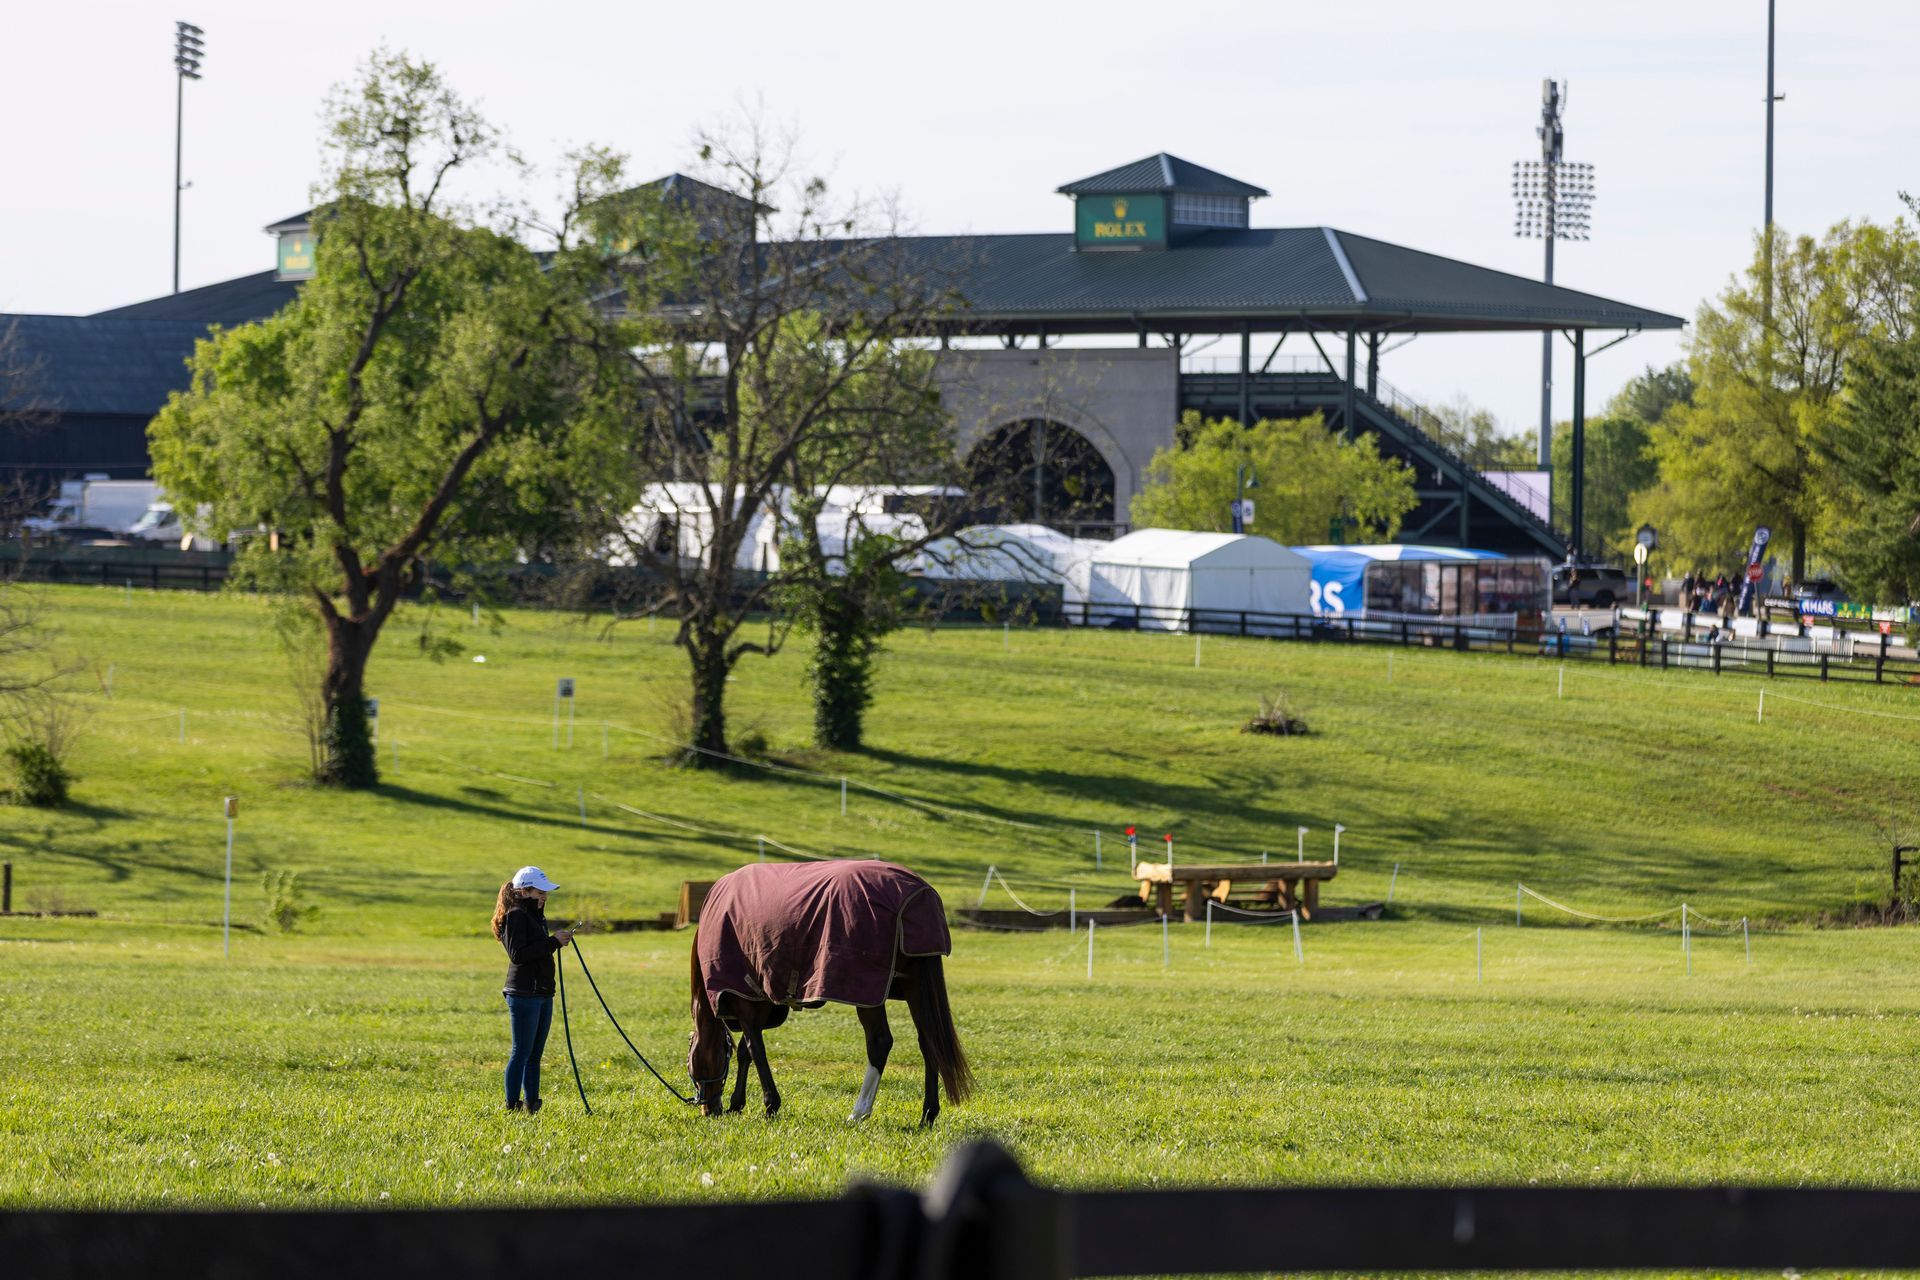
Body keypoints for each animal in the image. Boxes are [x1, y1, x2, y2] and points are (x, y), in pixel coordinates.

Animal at [687, 859, 971, 1126]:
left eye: (690, 1060)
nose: (707, 1109)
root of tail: (917, 897)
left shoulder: (743, 998)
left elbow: (755, 1049)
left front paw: (769, 1104)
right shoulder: (759, 1000)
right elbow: (747, 1051)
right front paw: (738, 1103)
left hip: (866, 993)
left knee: (879, 1042)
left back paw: (859, 1112)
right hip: (915, 984)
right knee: (929, 1041)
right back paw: (928, 1114)